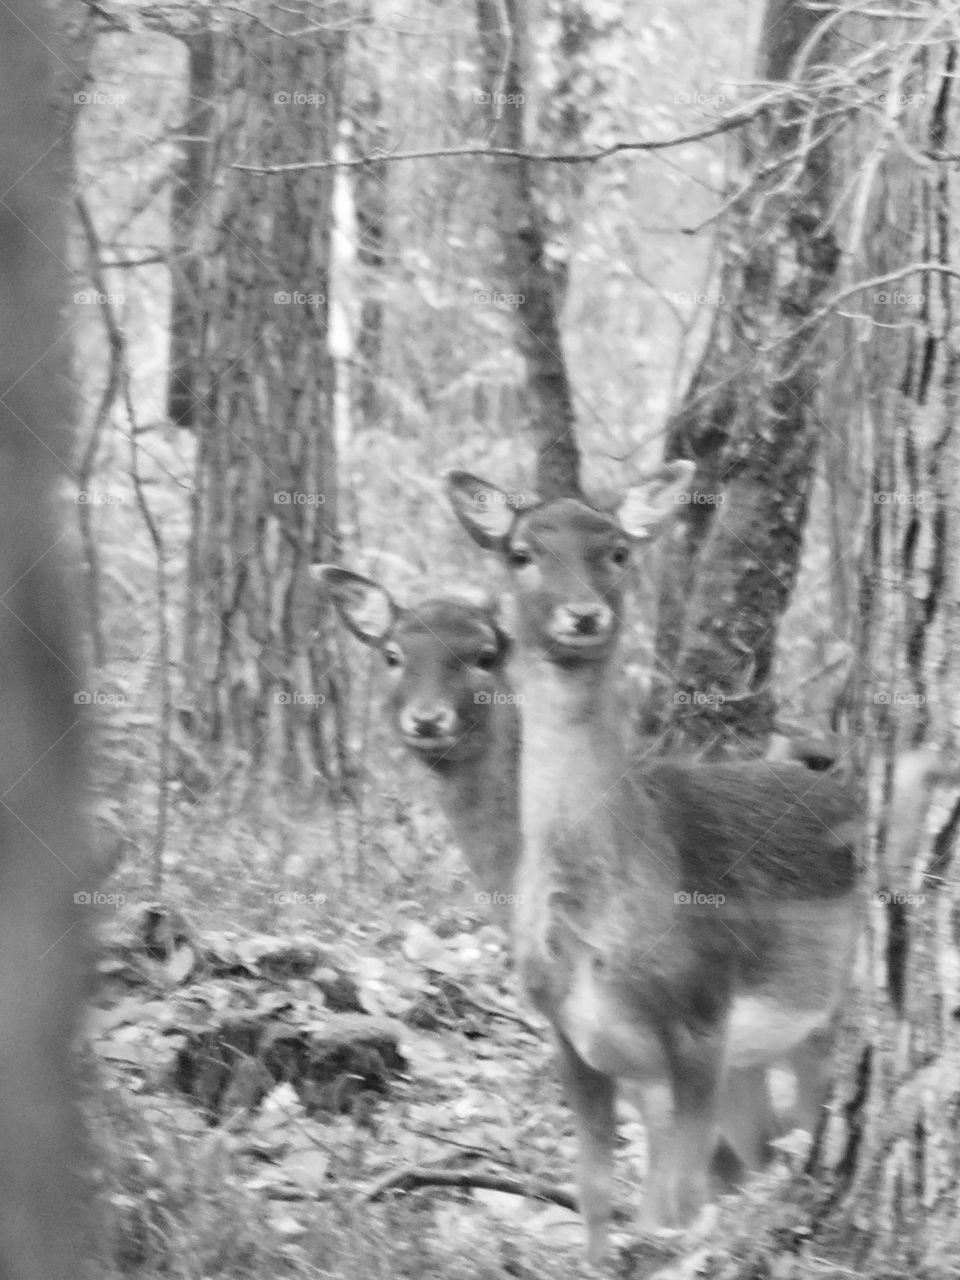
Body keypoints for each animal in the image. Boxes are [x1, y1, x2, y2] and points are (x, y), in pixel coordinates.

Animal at [445, 463, 866, 1264]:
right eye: (521, 551)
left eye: (616, 550)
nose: (582, 615)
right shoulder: (569, 1035)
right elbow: (597, 1192)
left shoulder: (701, 1016)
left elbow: (681, 1202)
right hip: (759, 1057)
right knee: (768, 1148)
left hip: (814, 1027)